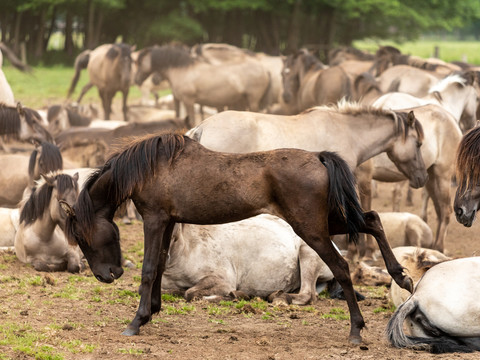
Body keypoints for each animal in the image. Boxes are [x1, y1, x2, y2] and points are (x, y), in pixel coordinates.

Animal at [61, 133, 412, 344]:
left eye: (81, 235)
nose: (106, 276)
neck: (149, 168)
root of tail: (317, 157)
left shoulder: (155, 219)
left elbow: (148, 270)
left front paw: (136, 321)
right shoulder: (168, 222)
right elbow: (159, 265)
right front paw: (152, 311)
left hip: (311, 229)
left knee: (341, 266)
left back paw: (356, 329)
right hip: (327, 221)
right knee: (372, 221)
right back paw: (401, 277)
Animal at [133, 44, 272, 127]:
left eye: (140, 63)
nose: (137, 80)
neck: (183, 70)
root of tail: (264, 70)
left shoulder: (188, 101)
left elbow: (192, 120)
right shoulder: (182, 100)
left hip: (253, 100)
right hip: (242, 101)